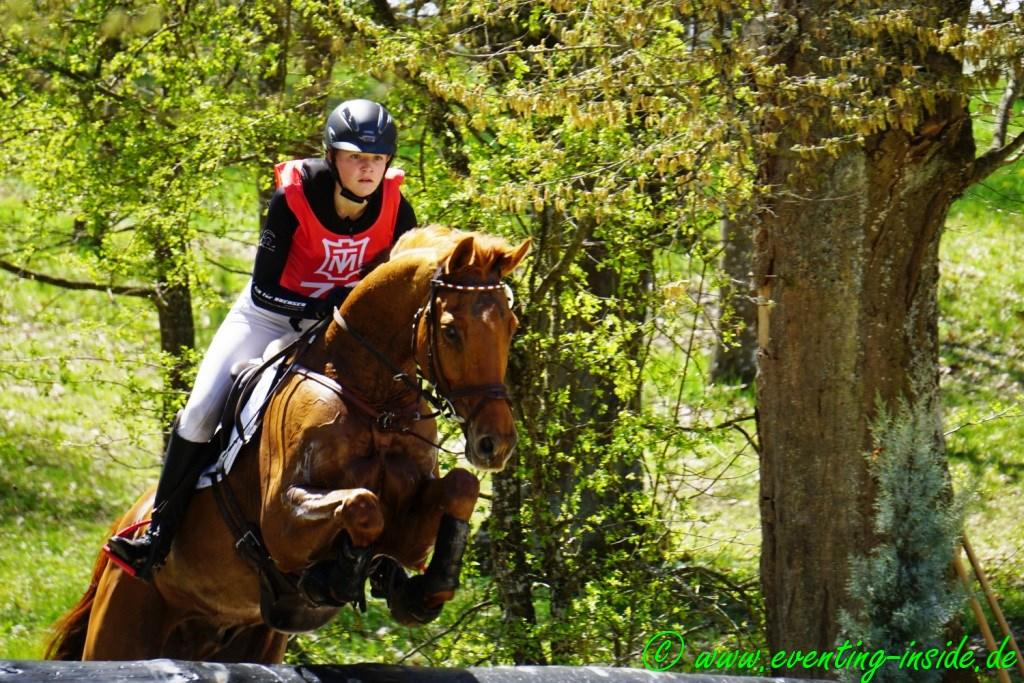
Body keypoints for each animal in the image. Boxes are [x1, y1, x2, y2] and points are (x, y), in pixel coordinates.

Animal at [47, 225, 528, 663]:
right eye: (450, 331)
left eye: (512, 325)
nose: (494, 442)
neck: (375, 401)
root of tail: (122, 529)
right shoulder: (282, 518)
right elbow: (362, 504)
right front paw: (338, 577)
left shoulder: (409, 522)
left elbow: (460, 488)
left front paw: (424, 589)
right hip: (122, 627)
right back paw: (146, 545)